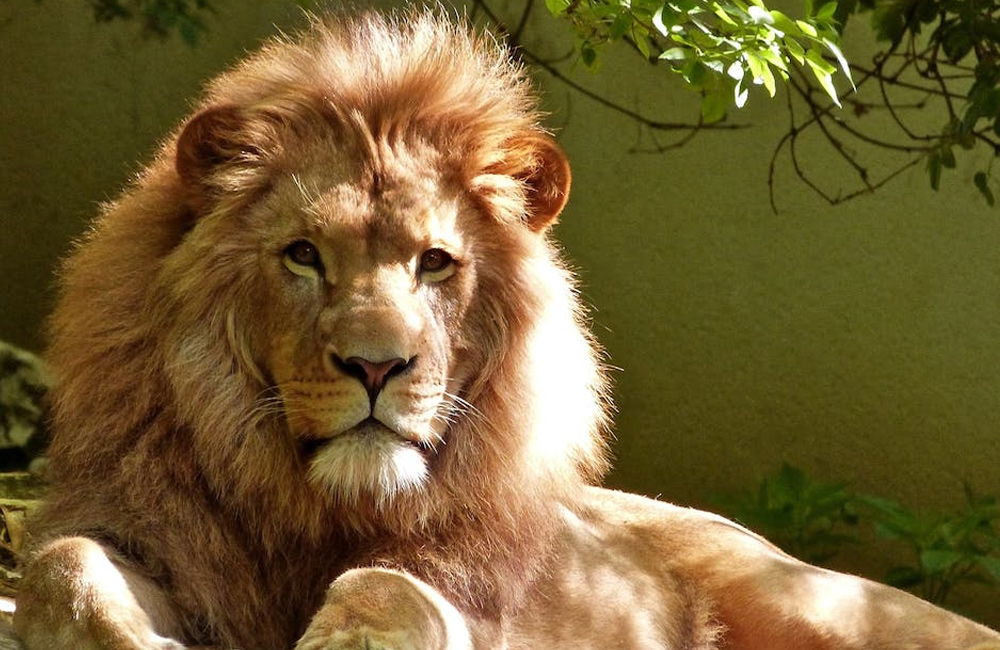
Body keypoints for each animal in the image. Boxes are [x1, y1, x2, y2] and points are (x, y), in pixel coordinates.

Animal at [12, 9, 1000, 650]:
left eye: (435, 262)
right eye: (303, 256)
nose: (377, 367)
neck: (316, 511)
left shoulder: (465, 585)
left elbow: (390, 591)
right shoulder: (139, 527)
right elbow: (63, 565)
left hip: (830, 606)